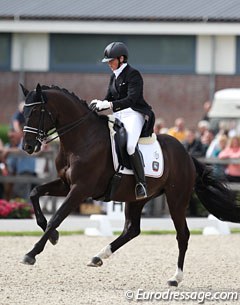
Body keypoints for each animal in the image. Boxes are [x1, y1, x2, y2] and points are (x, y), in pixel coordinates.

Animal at [20, 82, 240, 284]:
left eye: (37, 111)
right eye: (24, 111)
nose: (27, 147)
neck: (82, 138)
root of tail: (187, 155)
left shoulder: (80, 189)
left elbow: (57, 216)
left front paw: (32, 253)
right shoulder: (66, 184)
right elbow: (35, 193)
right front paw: (53, 235)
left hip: (176, 200)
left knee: (182, 234)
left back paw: (176, 277)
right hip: (137, 198)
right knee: (132, 229)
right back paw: (99, 256)